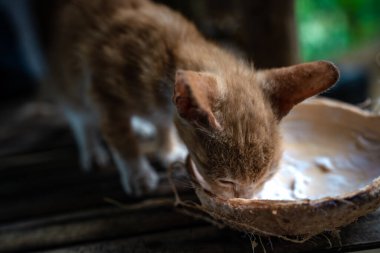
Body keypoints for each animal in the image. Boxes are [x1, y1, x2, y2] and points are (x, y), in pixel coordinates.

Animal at [47, 0, 338, 198]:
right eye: (227, 182)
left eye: (266, 177)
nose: (246, 199)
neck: (169, 51)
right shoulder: (105, 92)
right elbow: (122, 138)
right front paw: (137, 173)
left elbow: (162, 123)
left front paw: (166, 147)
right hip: (69, 77)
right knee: (79, 117)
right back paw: (92, 150)